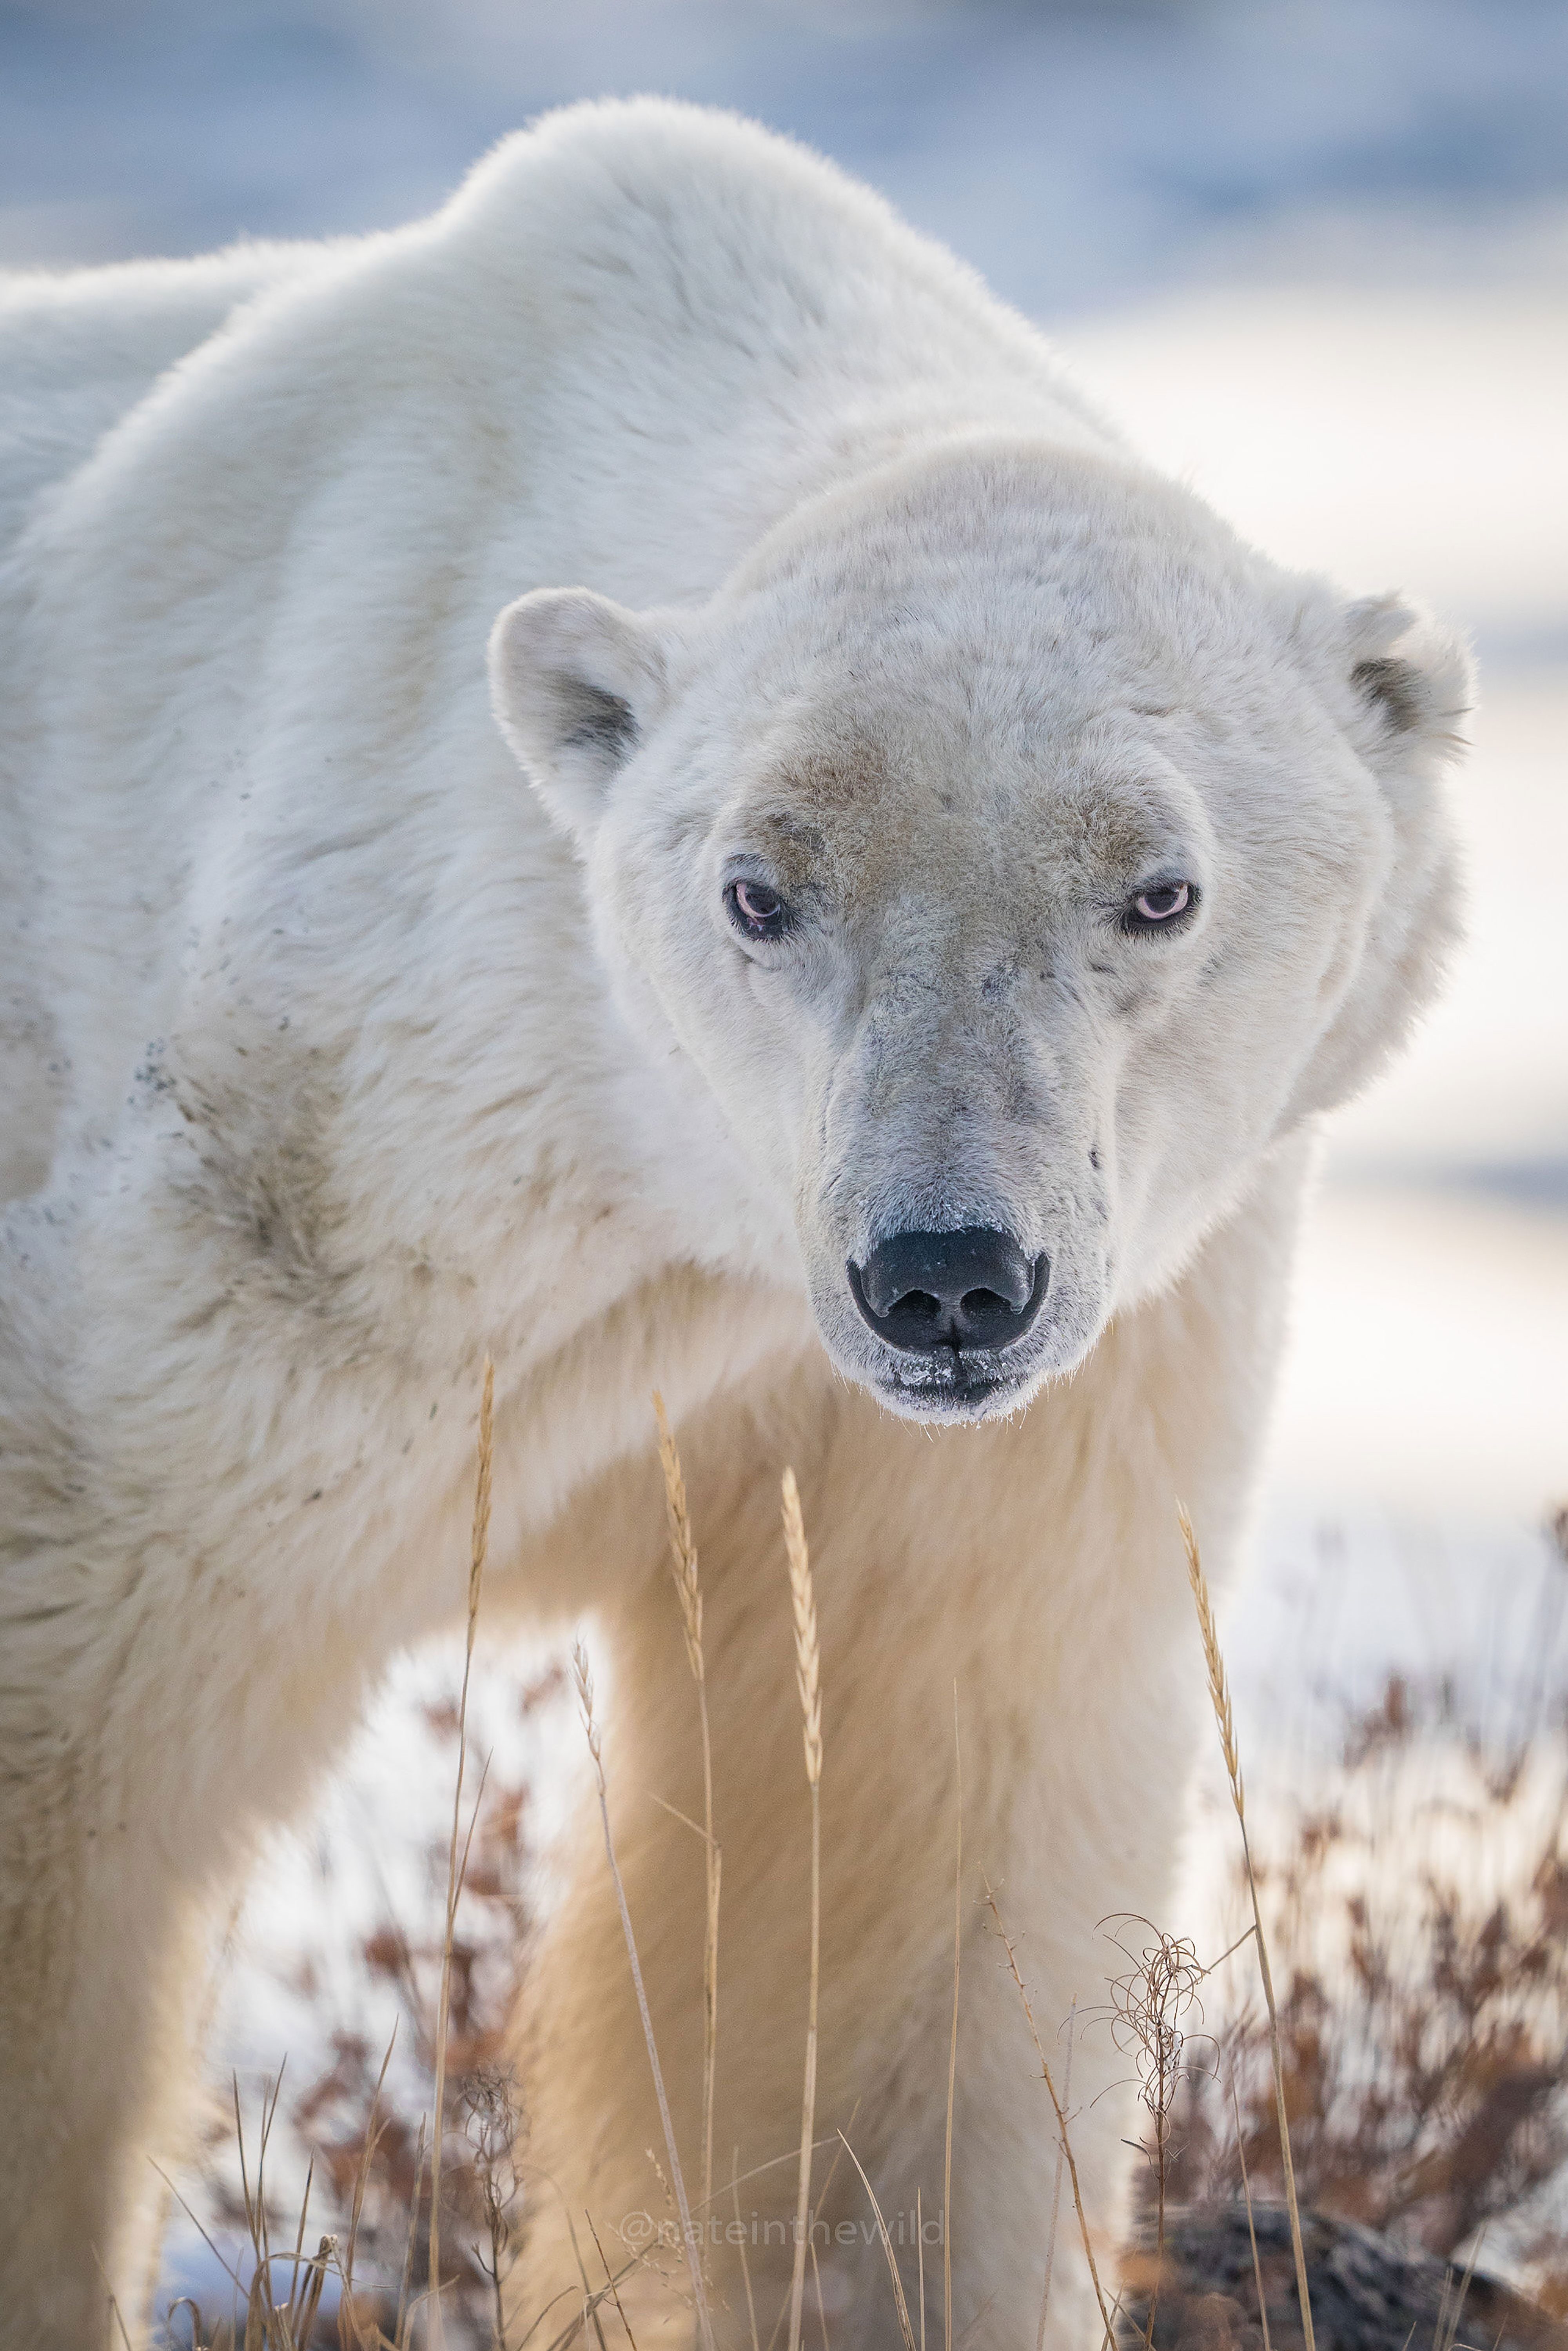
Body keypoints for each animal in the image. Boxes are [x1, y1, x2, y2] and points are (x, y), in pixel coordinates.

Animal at [0, 96, 1476, 2351]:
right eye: (756, 888)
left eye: (1159, 889)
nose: (944, 1273)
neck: (674, 1191)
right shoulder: (336, 1186)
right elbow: (87, 1698)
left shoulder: (1037, 1383)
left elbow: (901, 1845)